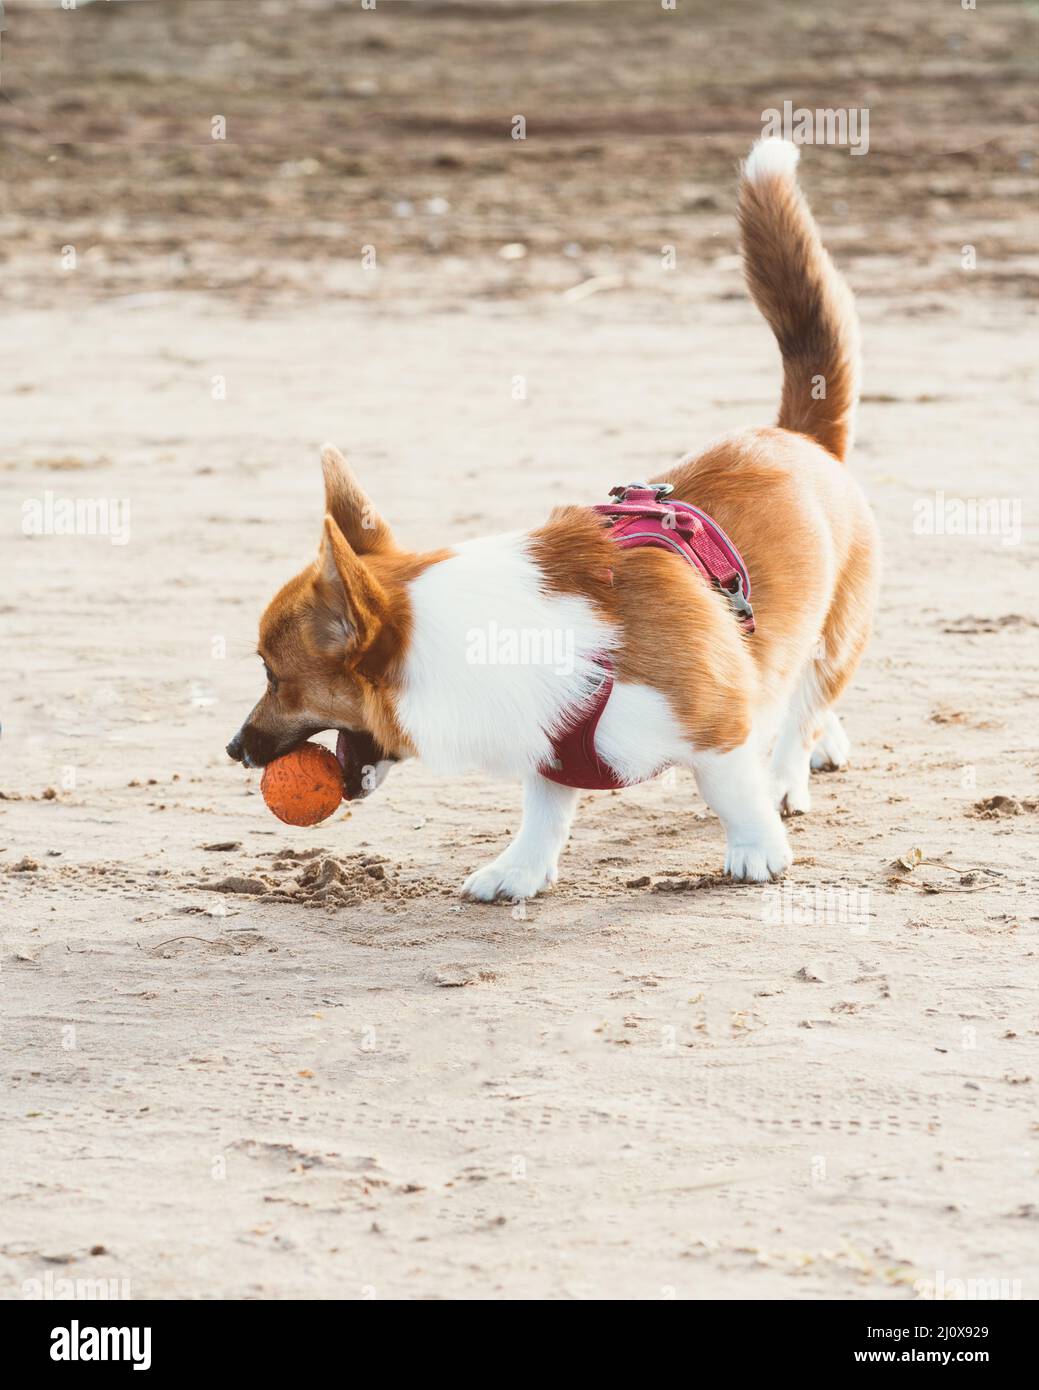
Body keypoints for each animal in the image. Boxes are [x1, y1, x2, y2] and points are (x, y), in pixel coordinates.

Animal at [225, 135, 879, 900]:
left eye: (274, 676)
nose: (234, 748)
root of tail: (797, 437)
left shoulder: (715, 727)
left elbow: (731, 790)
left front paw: (756, 846)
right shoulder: (551, 745)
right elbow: (544, 812)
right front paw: (519, 870)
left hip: (835, 636)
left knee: (802, 704)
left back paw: (786, 774)